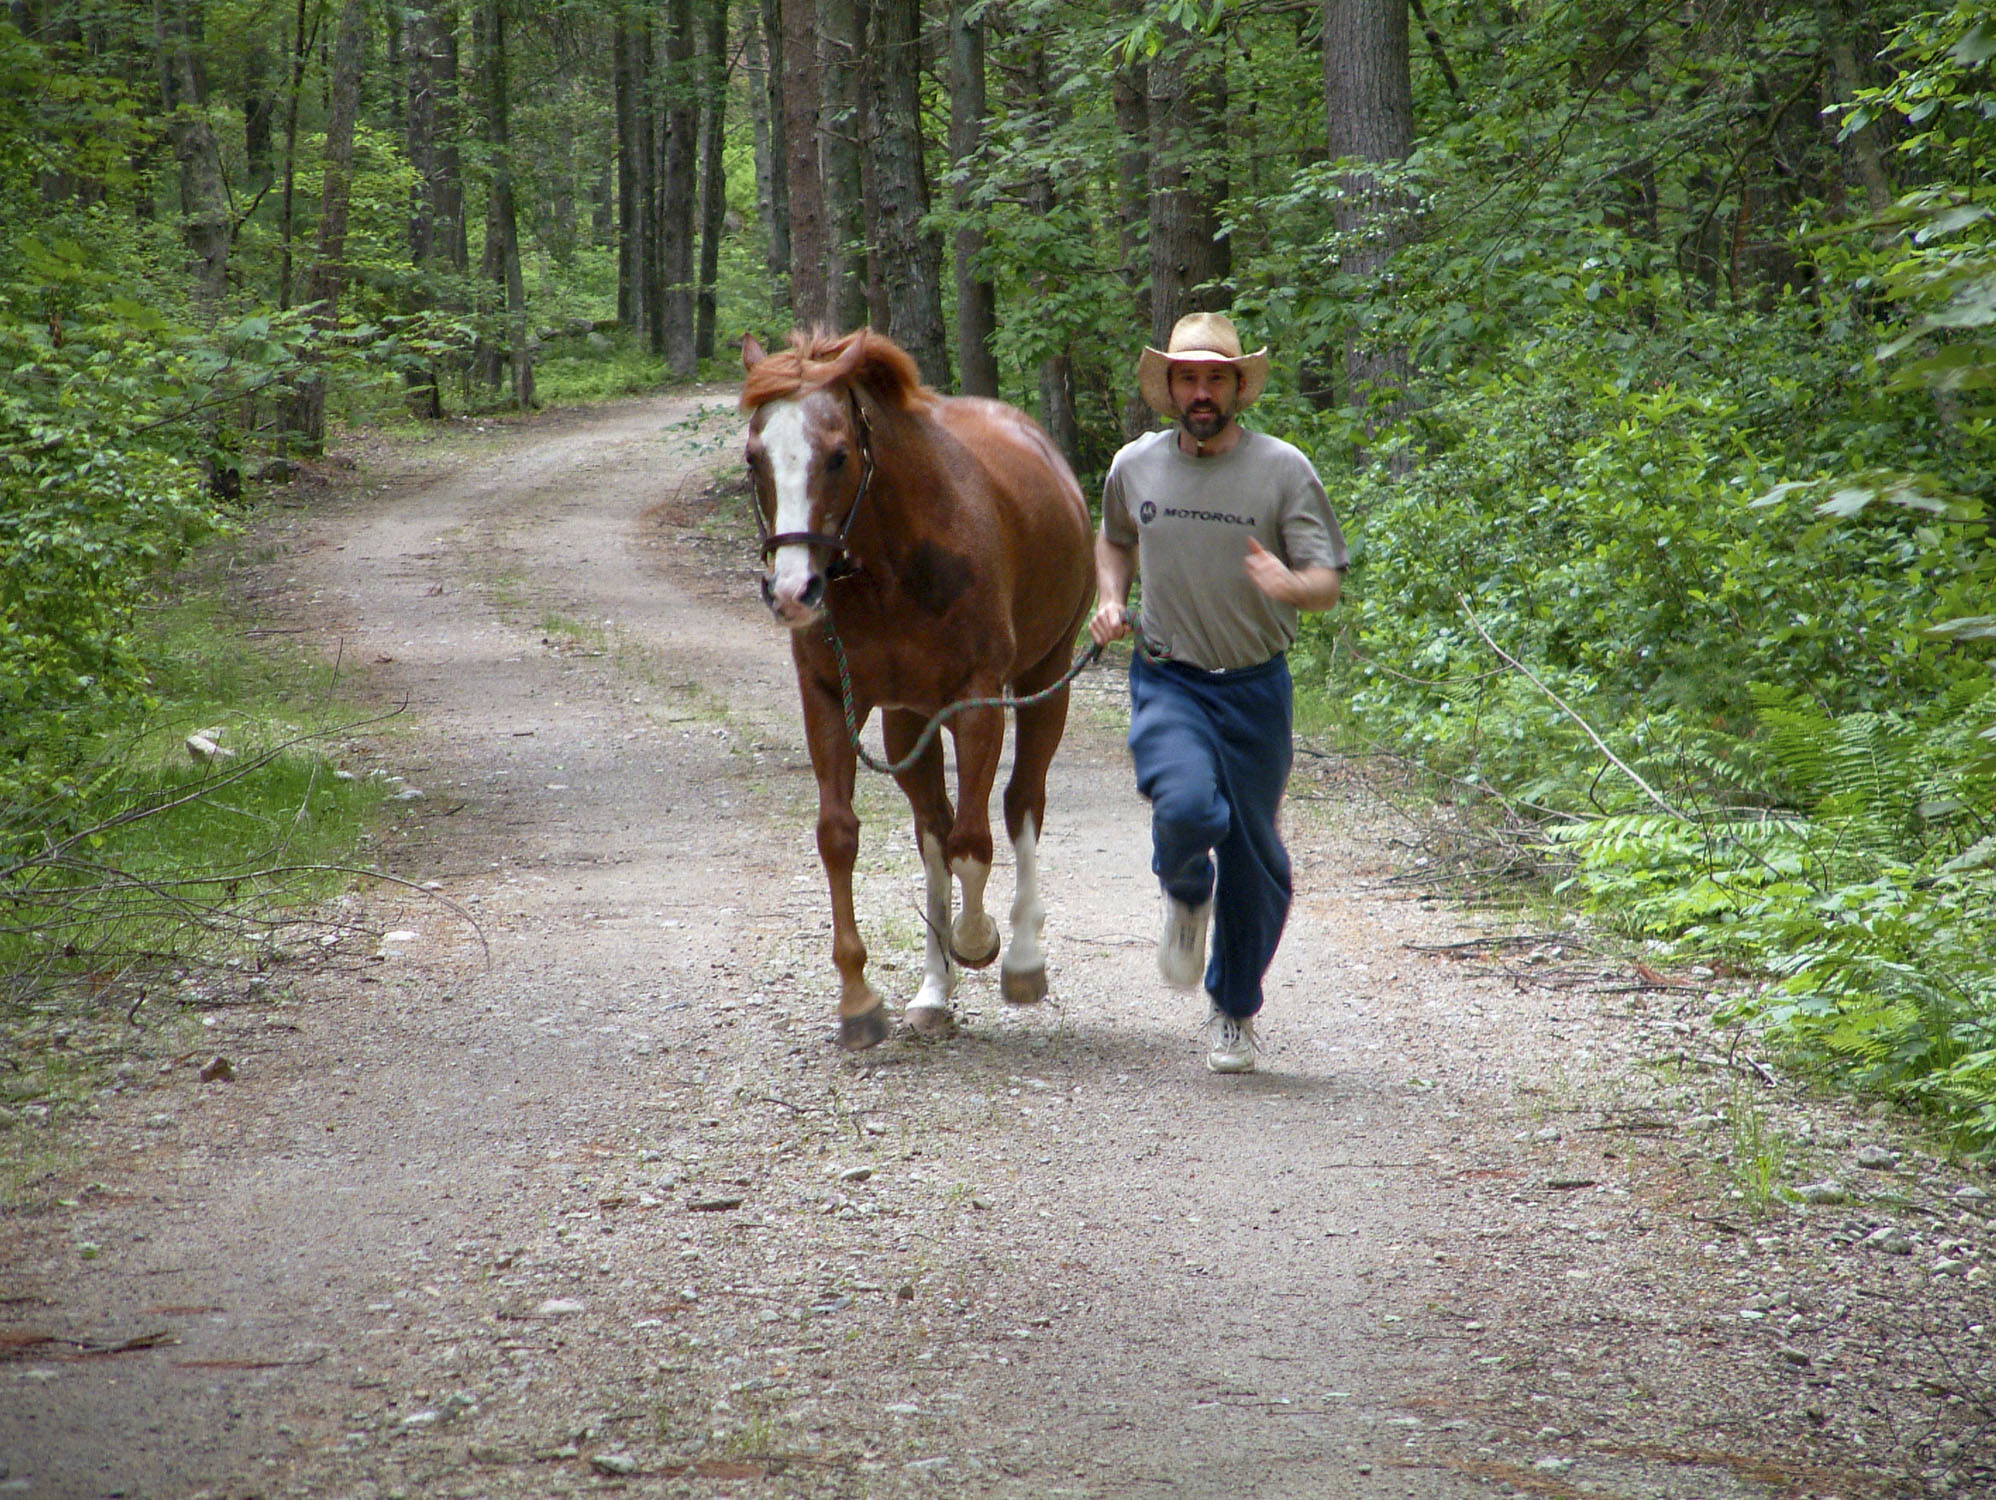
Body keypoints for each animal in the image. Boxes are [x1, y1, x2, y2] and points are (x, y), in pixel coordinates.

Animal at [739, 328, 1095, 1051]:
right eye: (754, 455)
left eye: (839, 455)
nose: (793, 591)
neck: (891, 566)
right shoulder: (829, 697)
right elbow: (841, 835)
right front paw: (857, 998)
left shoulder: (979, 702)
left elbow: (974, 842)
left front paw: (979, 940)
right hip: (909, 721)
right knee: (932, 827)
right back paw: (934, 990)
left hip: (1046, 682)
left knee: (1020, 803)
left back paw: (1021, 959)